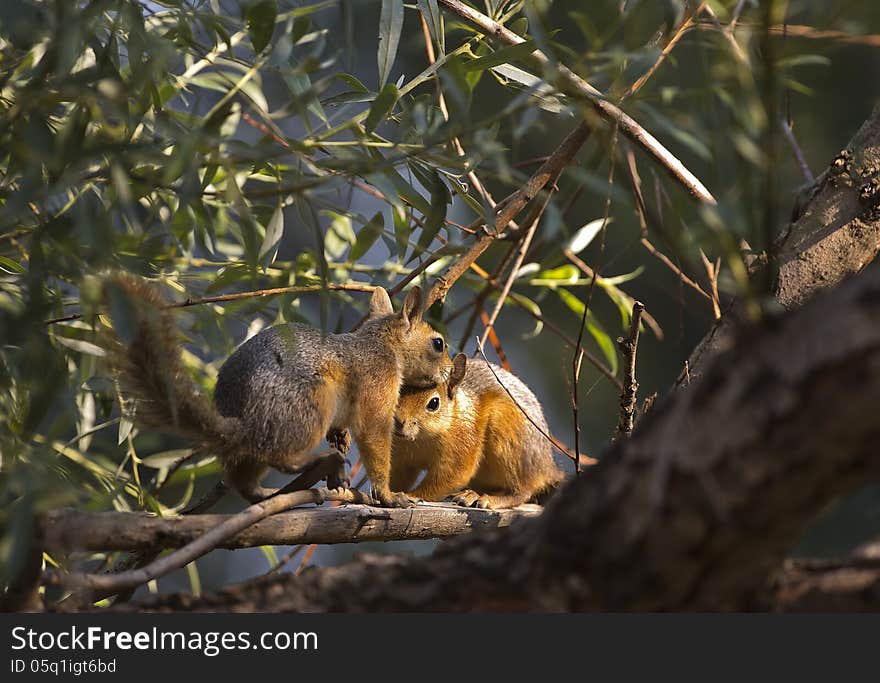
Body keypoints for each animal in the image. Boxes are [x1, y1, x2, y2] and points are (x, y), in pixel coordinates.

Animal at [99, 274, 450, 508]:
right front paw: (388, 495)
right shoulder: (377, 385)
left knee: (244, 481)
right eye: (438, 343)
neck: (381, 343)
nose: (448, 372)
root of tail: (241, 424)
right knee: (281, 459)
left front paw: (341, 447)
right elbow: (375, 435)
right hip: (310, 407)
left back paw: (269, 492)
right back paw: (322, 461)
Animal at [390, 352, 564, 508]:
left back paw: (489, 499)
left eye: (433, 403)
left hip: (510, 443)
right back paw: (471, 494)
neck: (420, 439)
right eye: (399, 390)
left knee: (522, 491)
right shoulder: (400, 456)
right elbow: (398, 477)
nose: (397, 421)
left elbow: (452, 475)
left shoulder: (464, 439)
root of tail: (546, 467)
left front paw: (411, 496)